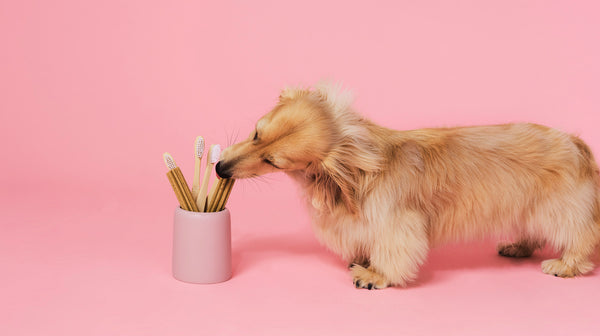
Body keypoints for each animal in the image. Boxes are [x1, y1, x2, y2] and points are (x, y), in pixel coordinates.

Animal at [216, 82, 600, 290]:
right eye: (256, 133)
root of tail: (576, 143)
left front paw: (374, 274)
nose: (220, 168)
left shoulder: (397, 224)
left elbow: (393, 252)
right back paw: (519, 247)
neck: (358, 170)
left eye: (273, 161)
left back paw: (566, 265)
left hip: (560, 209)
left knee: (581, 236)